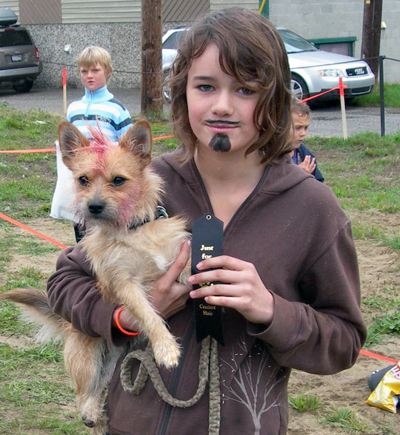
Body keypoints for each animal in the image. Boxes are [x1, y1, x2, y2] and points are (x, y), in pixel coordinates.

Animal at [0, 120, 191, 435]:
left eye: (118, 180)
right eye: (83, 180)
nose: (93, 206)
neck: (133, 231)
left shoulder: (178, 259)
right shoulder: (125, 283)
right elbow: (148, 314)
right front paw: (165, 347)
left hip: (111, 361)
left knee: (100, 389)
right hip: (89, 360)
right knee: (84, 394)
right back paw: (92, 414)